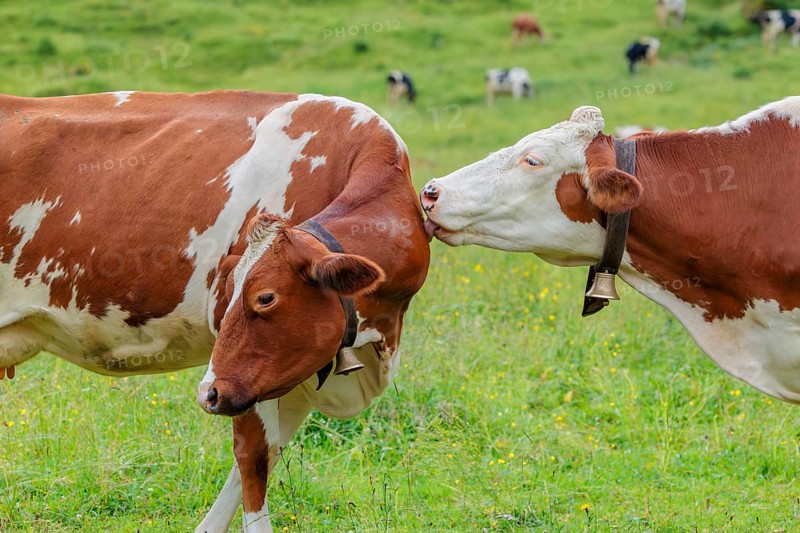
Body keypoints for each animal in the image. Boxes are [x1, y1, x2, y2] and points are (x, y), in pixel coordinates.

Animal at [0, 90, 430, 531]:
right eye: (228, 292)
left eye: (265, 297)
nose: (207, 393)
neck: (377, 337)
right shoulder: (248, 375)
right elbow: (254, 458)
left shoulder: (293, 368)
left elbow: (267, 454)